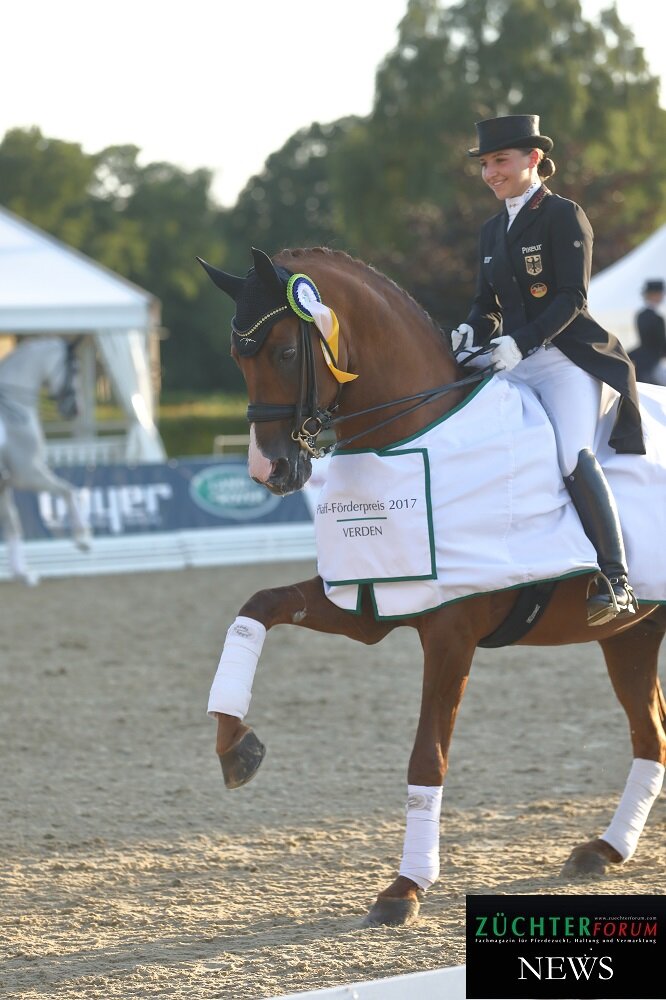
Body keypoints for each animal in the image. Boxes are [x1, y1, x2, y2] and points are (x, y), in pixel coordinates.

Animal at [0, 336, 91, 585]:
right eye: (75, 369)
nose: (75, 410)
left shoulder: (5, 484)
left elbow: (13, 525)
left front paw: (22, 573)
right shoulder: (26, 474)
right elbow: (67, 490)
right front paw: (83, 539)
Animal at [197, 246, 666, 927]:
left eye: (285, 352)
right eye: (239, 359)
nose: (270, 471)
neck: (412, 433)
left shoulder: (452, 633)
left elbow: (428, 754)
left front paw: (405, 887)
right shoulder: (367, 604)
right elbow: (258, 606)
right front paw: (235, 746)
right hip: (632, 636)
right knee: (651, 736)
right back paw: (606, 849)